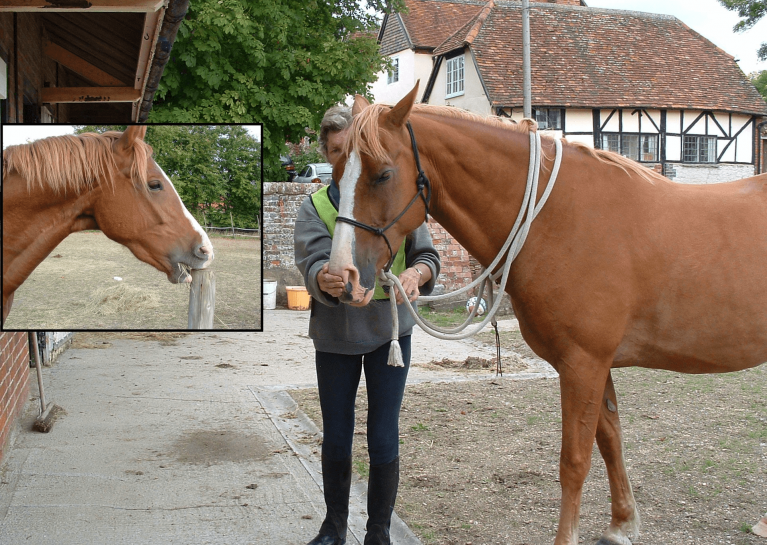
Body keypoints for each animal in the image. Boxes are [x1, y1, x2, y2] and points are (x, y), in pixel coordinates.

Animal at [326, 84, 767, 545]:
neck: (557, 217)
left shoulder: (583, 364)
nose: (342, 276)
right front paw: (622, 523)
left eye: (382, 174)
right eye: (337, 172)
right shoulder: (595, 366)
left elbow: (574, 461)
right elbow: (610, 440)